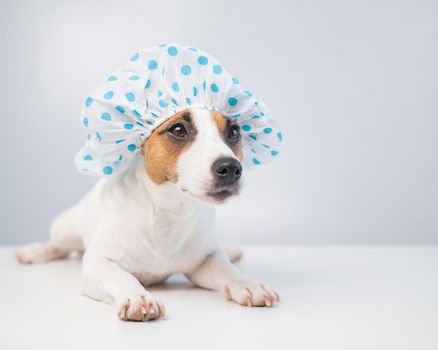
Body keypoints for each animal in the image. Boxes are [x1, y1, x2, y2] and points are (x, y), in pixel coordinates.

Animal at [16, 108, 280, 322]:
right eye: (178, 129)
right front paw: (137, 297)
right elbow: (122, 277)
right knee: (59, 246)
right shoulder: (98, 263)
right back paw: (33, 251)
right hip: (64, 230)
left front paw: (248, 283)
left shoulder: (204, 263)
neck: (169, 211)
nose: (231, 167)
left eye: (234, 131)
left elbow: (227, 270)